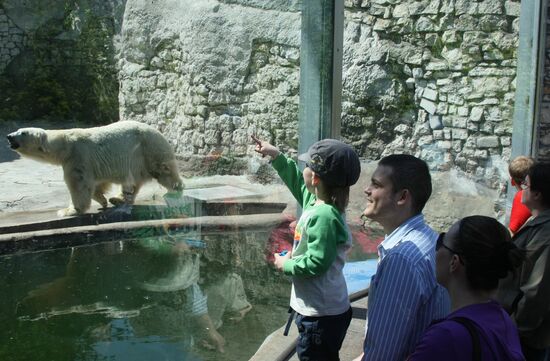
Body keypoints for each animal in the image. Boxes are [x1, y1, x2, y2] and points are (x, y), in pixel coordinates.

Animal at [6, 121, 184, 217]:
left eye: (22, 132)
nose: (8, 136)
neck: (64, 145)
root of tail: (158, 132)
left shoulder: (78, 156)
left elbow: (79, 184)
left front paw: (68, 211)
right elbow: (97, 183)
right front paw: (103, 200)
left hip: (149, 149)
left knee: (164, 170)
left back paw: (176, 190)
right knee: (133, 182)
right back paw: (117, 199)